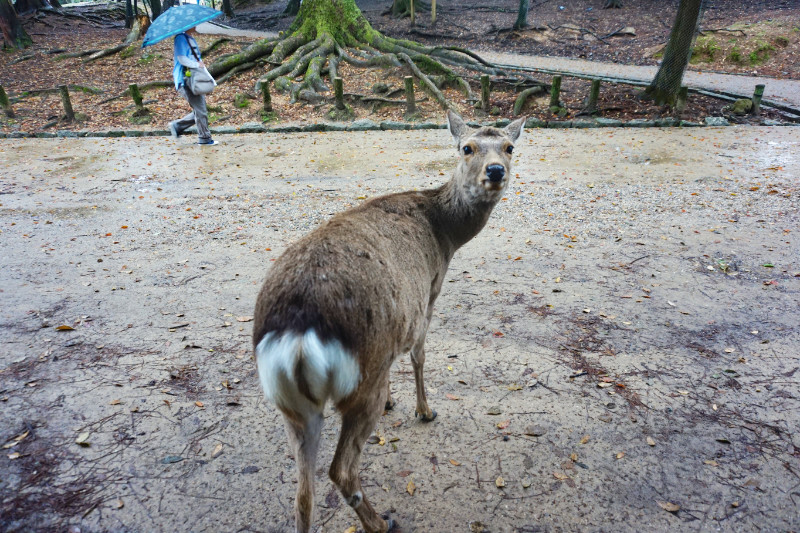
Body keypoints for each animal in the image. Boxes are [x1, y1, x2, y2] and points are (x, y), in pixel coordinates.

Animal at [253, 110, 526, 533]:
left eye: (510, 147)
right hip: (361, 379)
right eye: (467, 147)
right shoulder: (429, 293)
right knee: (340, 470)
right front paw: (424, 410)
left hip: (292, 406)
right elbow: (418, 356)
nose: (495, 171)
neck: (446, 235)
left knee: (302, 495)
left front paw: (395, 402)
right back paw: (382, 522)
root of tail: (297, 332)